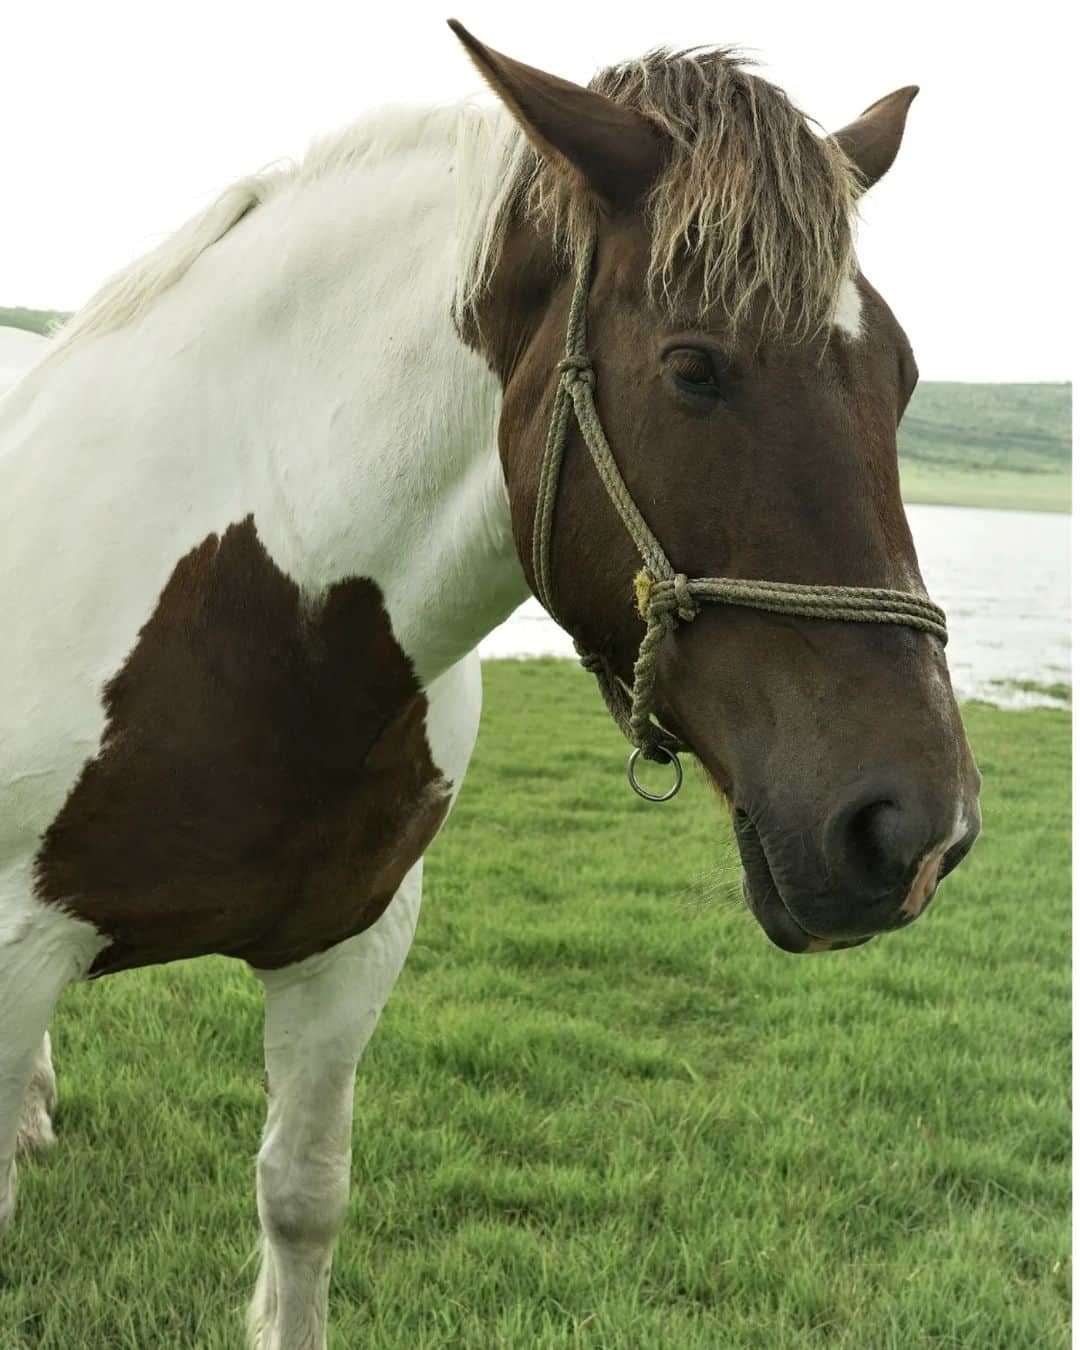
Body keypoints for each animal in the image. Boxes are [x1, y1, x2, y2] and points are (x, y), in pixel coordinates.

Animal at [0, 23, 977, 1350]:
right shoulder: (14, 954)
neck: (240, 606)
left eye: (905, 377)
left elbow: (301, 1200)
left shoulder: (349, 948)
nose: (916, 830)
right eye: (694, 369)